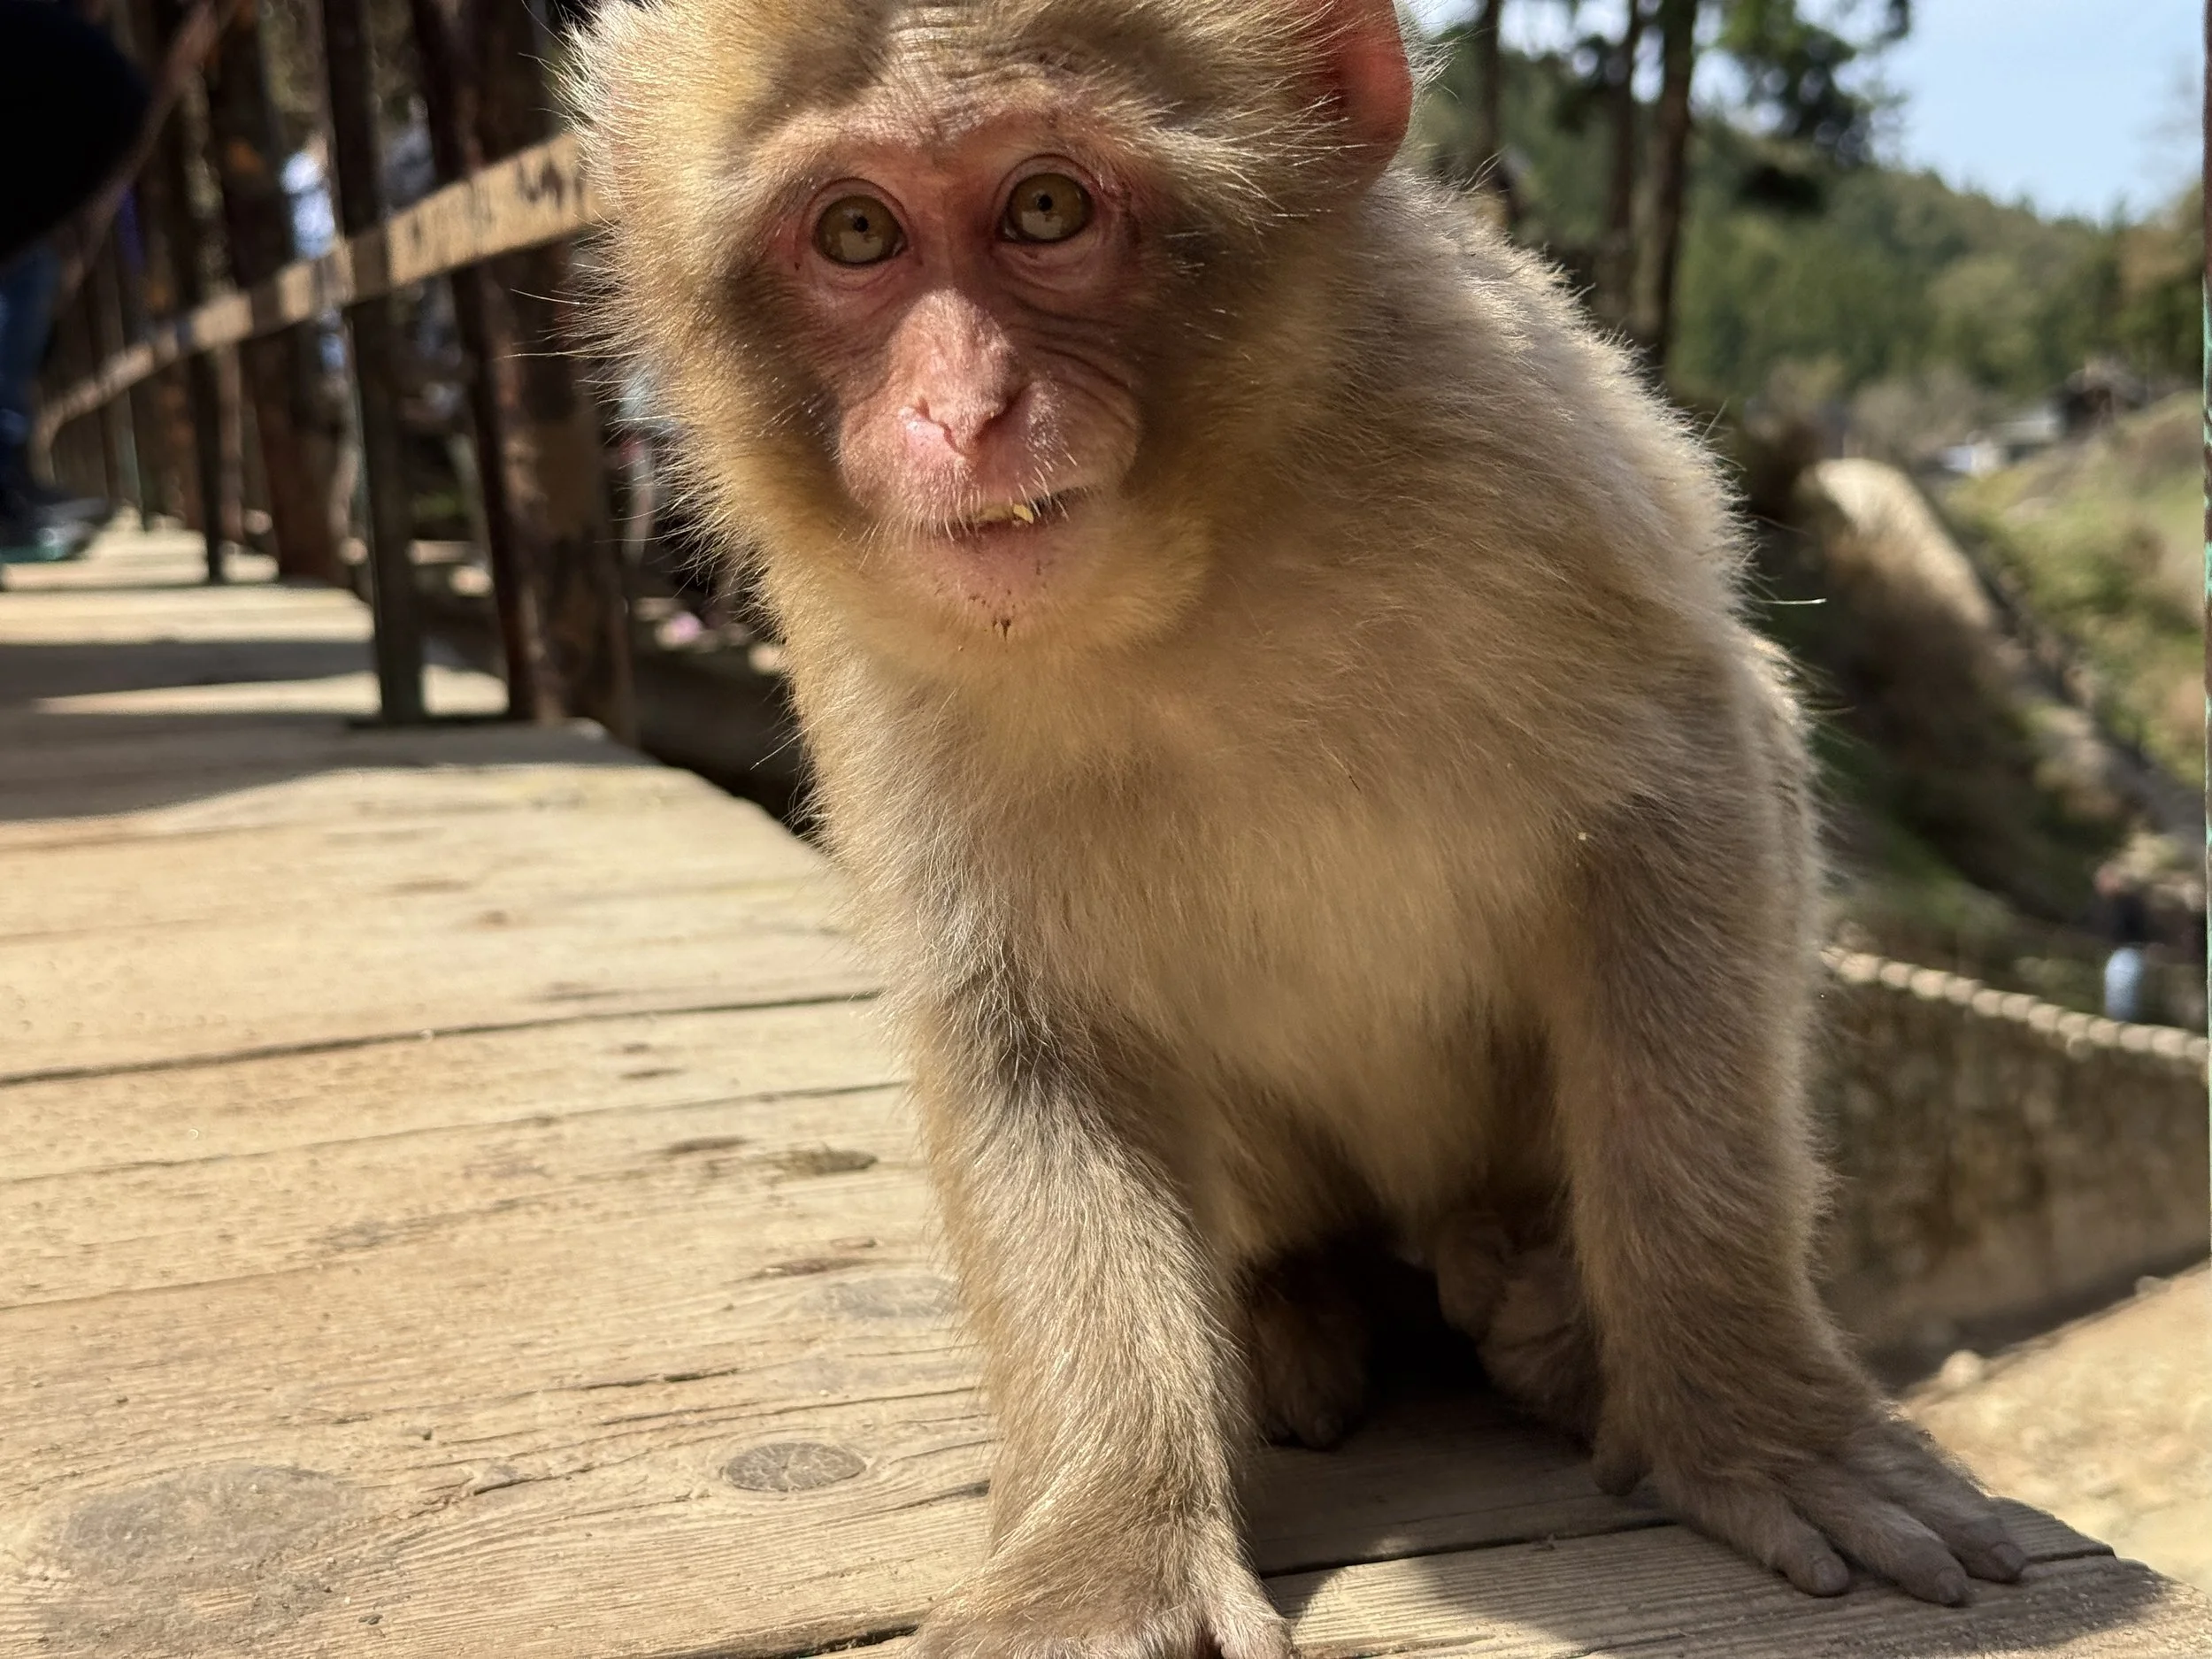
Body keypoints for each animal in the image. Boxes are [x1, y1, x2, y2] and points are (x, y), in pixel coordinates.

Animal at [571, 3, 2027, 1653]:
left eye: (1046, 209)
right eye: (859, 233)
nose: (963, 413)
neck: (1182, 577)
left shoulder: (1506, 430)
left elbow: (1694, 782)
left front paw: (1755, 1415)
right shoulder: (865, 638)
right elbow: (1020, 1020)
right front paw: (1105, 1544)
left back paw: (1537, 1290)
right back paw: (1294, 1301)